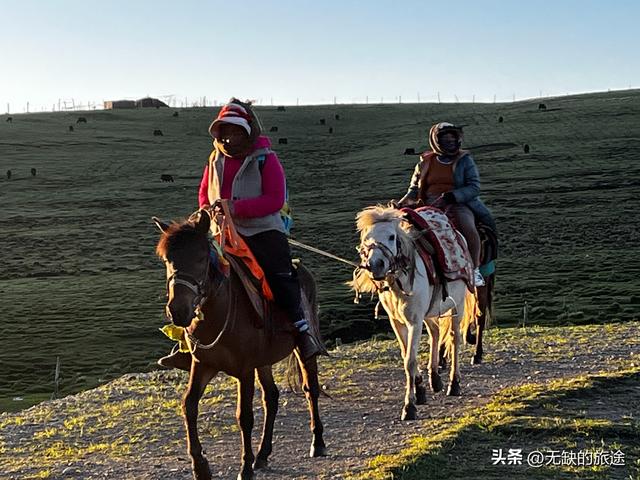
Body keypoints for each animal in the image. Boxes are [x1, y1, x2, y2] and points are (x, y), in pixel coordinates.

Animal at [154, 212, 324, 480]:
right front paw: (200, 466)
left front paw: (244, 468)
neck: (218, 311)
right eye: (167, 260)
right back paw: (263, 455)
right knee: (271, 397)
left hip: (302, 350)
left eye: (201, 257)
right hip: (263, 362)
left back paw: (317, 442)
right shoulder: (203, 365)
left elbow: (244, 417)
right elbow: (188, 405)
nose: (177, 310)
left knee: (311, 389)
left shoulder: (244, 371)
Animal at [350, 205, 476, 420]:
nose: (376, 265)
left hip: (456, 306)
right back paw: (435, 378)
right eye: (366, 238)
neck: (399, 282)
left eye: (391, 236)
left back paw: (454, 383)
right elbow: (405, 354)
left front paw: (409, 406)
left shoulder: (414, 322)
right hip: (430, 312)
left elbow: (410, 360)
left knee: (454, 339)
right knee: (435, 333)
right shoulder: (397, 321)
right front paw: (420, 388)